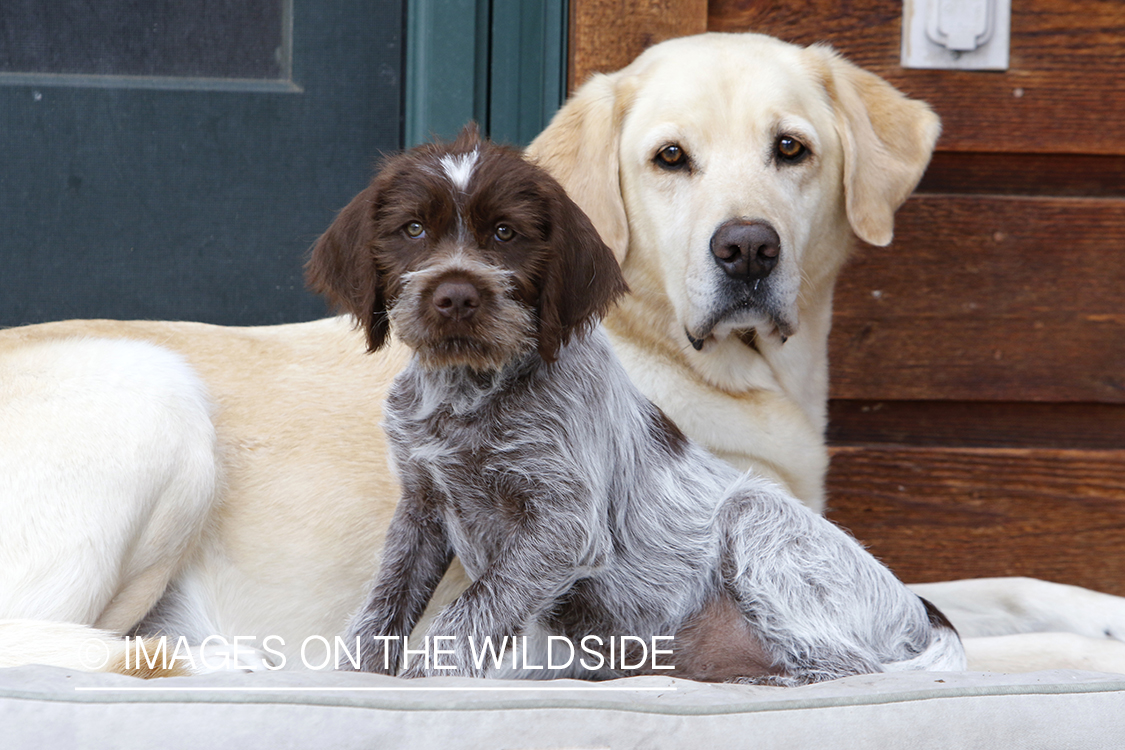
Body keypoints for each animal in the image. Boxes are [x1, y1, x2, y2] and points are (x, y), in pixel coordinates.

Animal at [308, 129, 967, 688]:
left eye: (505, 234)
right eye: (414, 229)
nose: (455, 296)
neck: (467, 390)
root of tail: (920, 612)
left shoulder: (564, 525)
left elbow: (467, 611)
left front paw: (429, 677)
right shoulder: (422, 508)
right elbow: (386, 601)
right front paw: (358, 673)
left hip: (756, 518)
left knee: (846, 666)